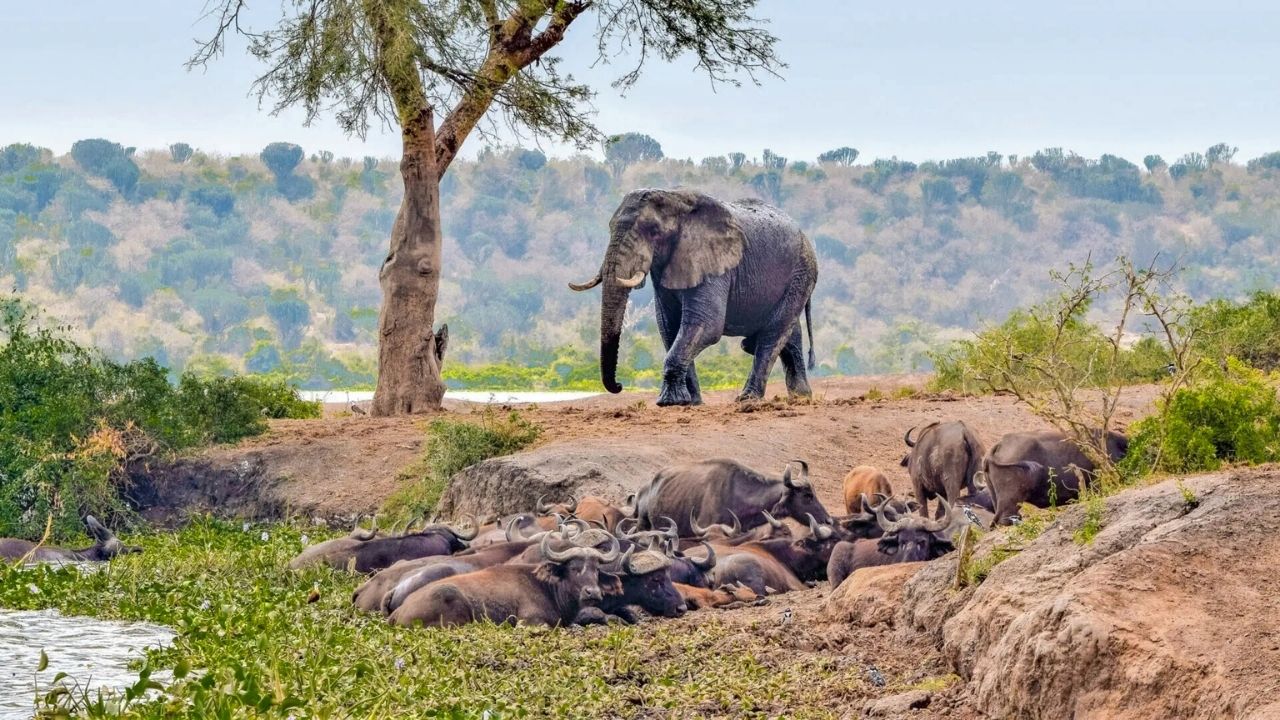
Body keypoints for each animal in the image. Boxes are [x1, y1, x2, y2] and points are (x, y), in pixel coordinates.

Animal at [570, 189, 818, 406]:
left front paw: (669, 402)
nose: (620, 385)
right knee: (789, 334)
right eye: (610, 228)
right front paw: (689, 403)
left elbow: (705, 325)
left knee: (772, 335)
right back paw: (801, 397)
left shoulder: (713, 263)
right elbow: (669, 327)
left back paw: (748, 399)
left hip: (801, 273)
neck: (675, 199)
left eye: (653, 231)